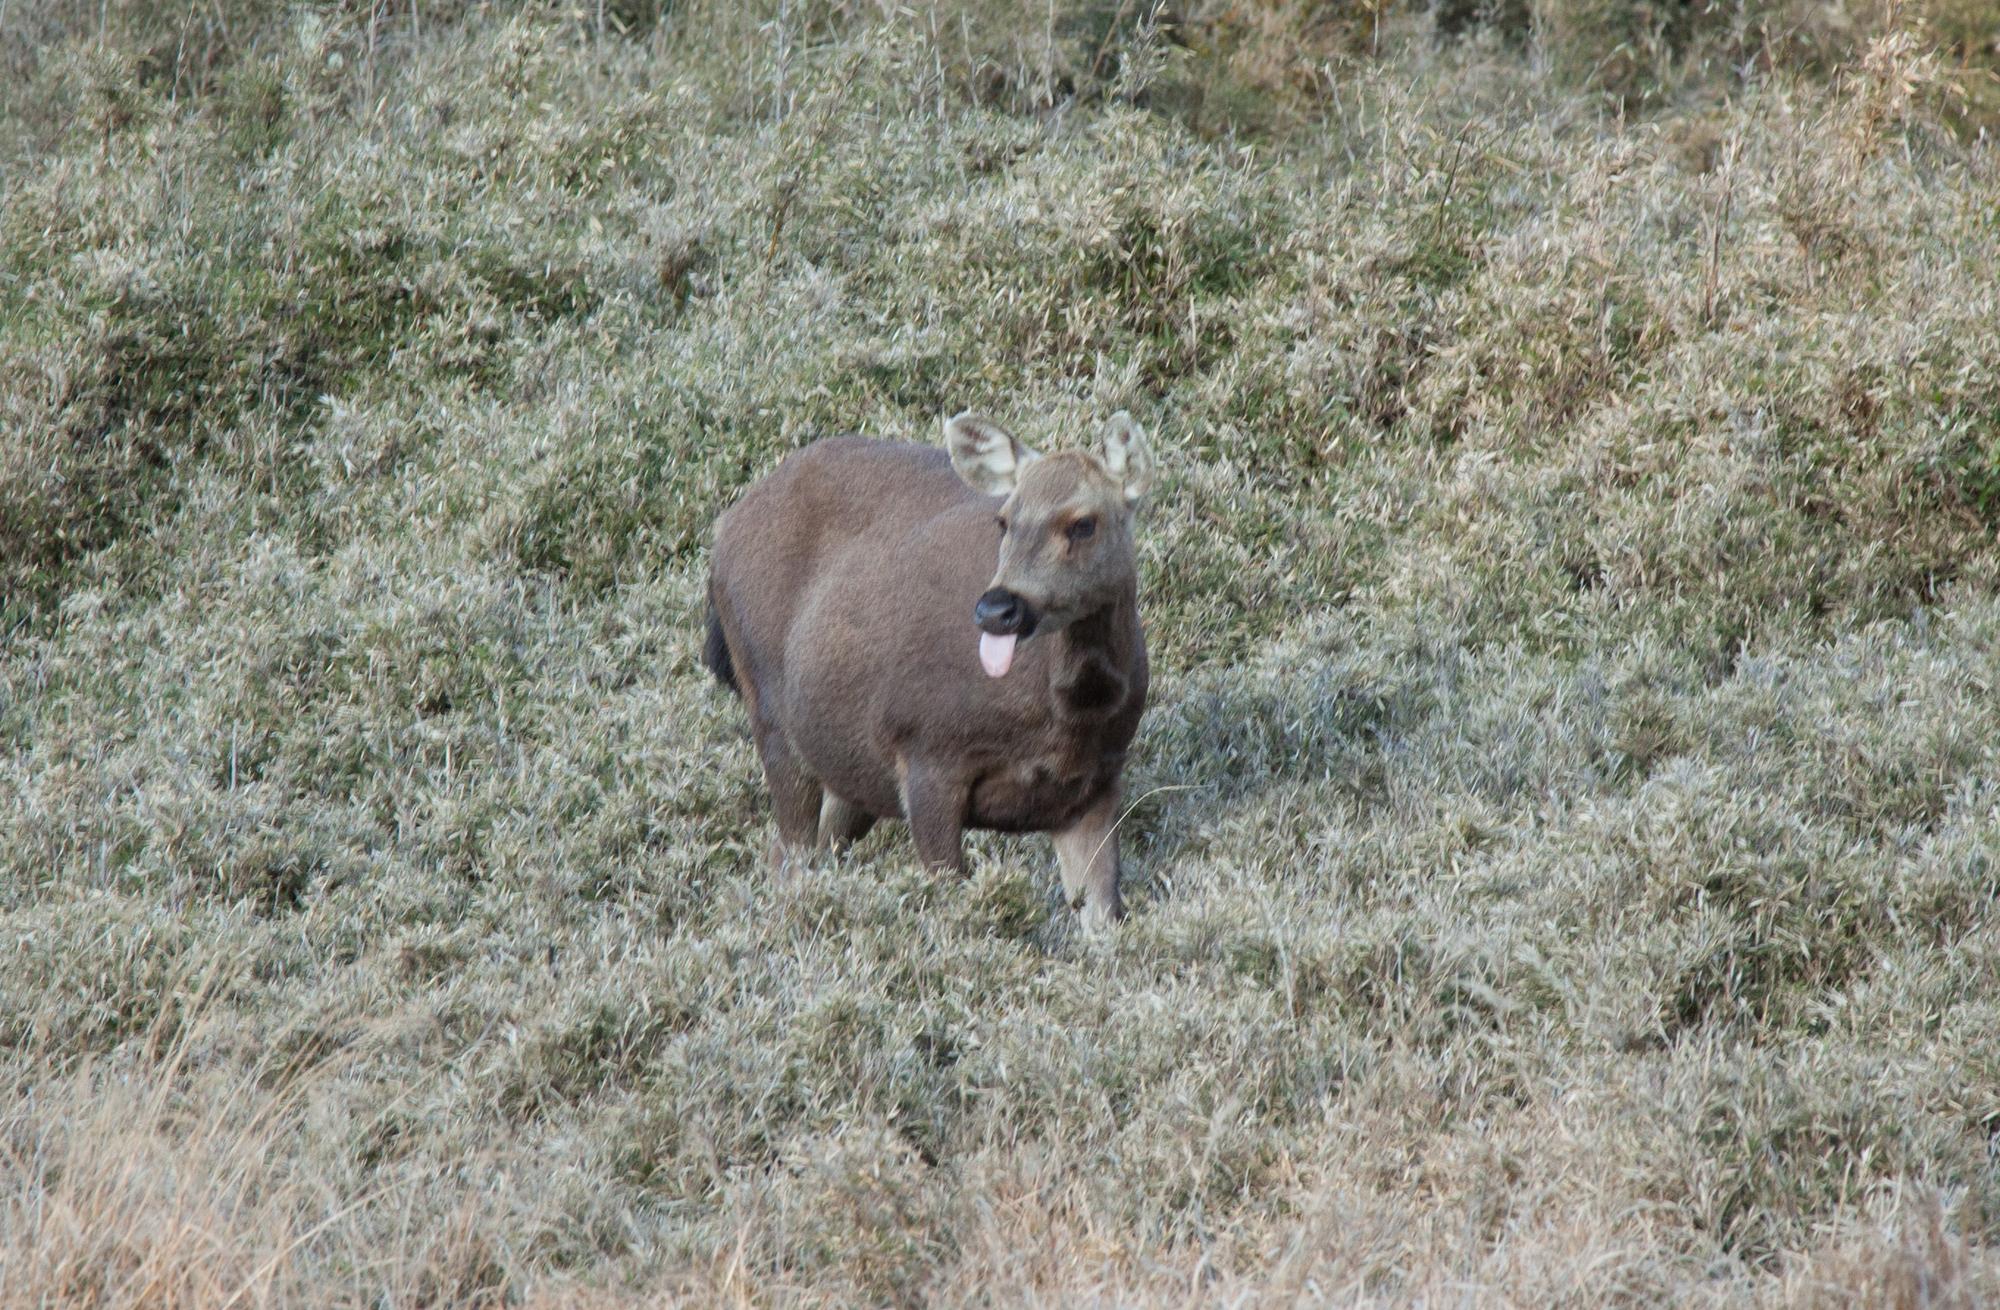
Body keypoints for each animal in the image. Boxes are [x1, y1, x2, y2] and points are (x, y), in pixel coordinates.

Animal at [702, 410, 1155, 927]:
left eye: (1083, 524)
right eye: (1004, 520)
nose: (997, 609)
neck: (1067, 716)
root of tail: (724, 527)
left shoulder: (1097, 782)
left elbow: (1104, 914)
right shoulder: (925, 749)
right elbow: (948, 896)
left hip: (850, 761)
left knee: (812, 844)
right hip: (770, 709)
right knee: (791, 851)